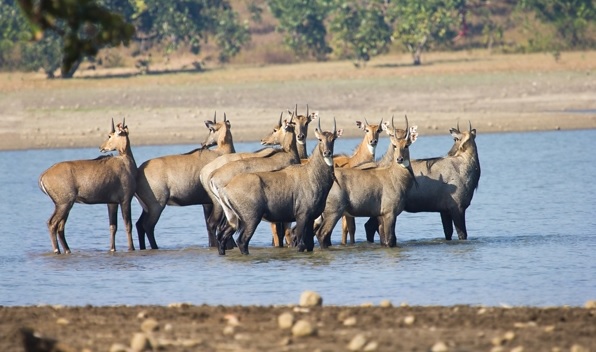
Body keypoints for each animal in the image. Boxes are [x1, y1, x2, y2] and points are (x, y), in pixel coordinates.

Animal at [38, 118, 137, 253]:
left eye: (110, 135)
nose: (101, 147)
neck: (125, 161)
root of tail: (44, 175)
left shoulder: (112, 203)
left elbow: (113, 226)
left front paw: (112, 249)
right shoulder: (126, 200)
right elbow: (128, 225)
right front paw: (131, 248)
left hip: (65, 205)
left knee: (60, 226)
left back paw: (67, 250)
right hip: (64, 204)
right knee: (52, 223)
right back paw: (57, 250)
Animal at [135, 111, 235, 249]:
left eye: (211, 130)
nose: (203, 143)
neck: (221, 152)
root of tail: (138, 172)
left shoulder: (207, 203)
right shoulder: (213, 202)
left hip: (147, 207)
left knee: (139, 225)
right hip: (156, 206)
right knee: (147, 226)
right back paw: (155, 247)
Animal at [217, 119, 342, 254]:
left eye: (333, 139)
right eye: (320, 139)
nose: (327, 153)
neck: (312, 175)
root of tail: (225, 189)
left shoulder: (311, 218)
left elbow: (310, 245)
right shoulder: (302, 216)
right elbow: (301, 244)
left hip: (233, 219)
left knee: (222, 237)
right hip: (251, 219)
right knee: (242, 241)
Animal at [314, 115, 416, 248]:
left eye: (407, 145)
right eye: (394, 145)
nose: (400, 159)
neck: (394, 175)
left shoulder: (380, 215)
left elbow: (386, 240)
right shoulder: (389, 213)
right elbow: (390, 240)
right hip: (333, 212)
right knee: (322, 234)